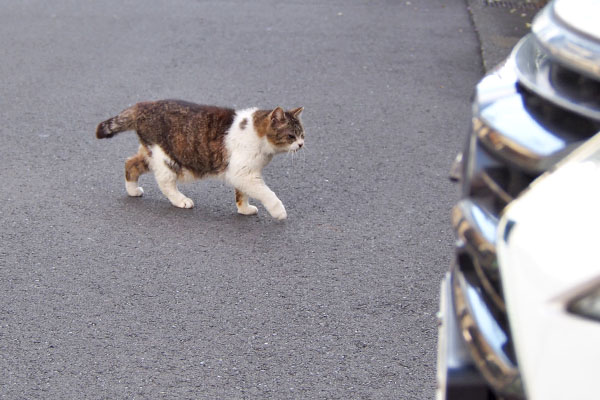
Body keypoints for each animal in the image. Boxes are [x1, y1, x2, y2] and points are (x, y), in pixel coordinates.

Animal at [97, 99, 304, 219]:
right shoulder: (245, 173)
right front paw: (279, 211)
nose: (302, 144)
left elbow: (242, 194)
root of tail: (143, 105)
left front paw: (244, 209)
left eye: (302, 135)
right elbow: (267, 193)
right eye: (291, 136)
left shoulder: (243, 173)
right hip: (167, 158)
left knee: (130, 164)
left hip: (152, 154)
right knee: (165, 183)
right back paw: (181, 200)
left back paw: (132, 190)